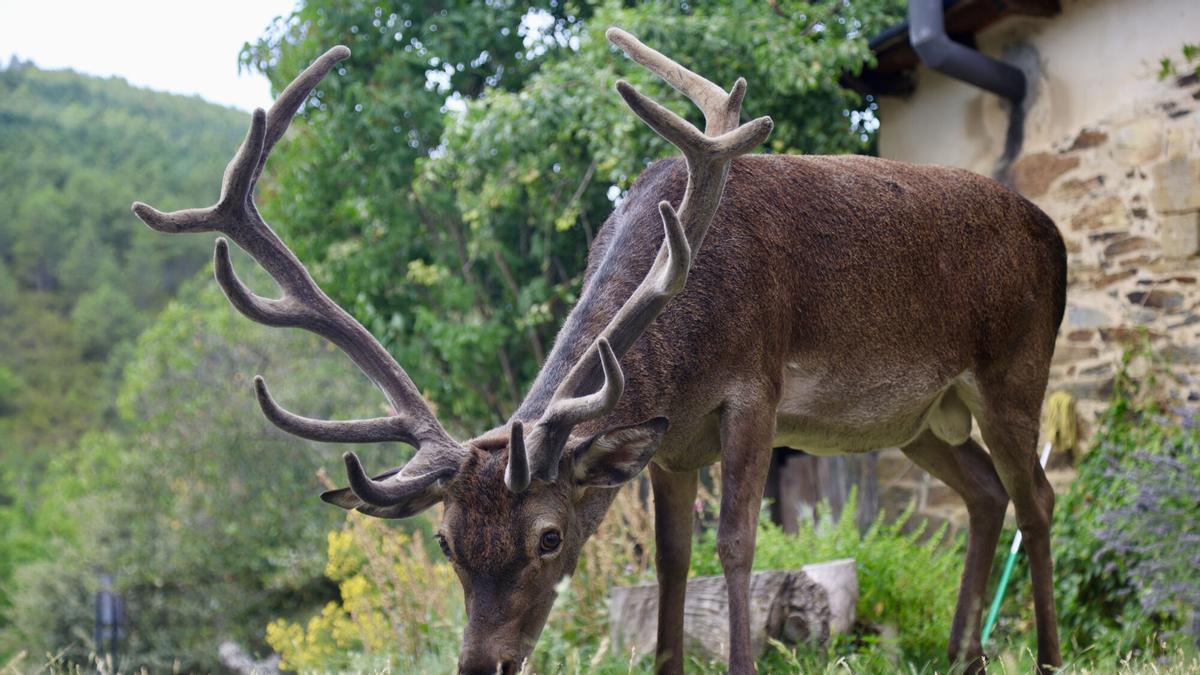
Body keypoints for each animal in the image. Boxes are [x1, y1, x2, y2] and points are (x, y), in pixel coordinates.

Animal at [132, 28, 1066, 675]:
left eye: (548, 537)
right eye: (446, 542)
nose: (482, 663)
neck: (688, 329)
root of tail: (1051, 231)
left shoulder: (755, 386)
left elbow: (736, 543)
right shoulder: (671, 441)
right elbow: (671, 561)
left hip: (1016, 369)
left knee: (1038, 496)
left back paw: (1049, 654)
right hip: (924, 418)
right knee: (984, 494)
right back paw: (963, 656)